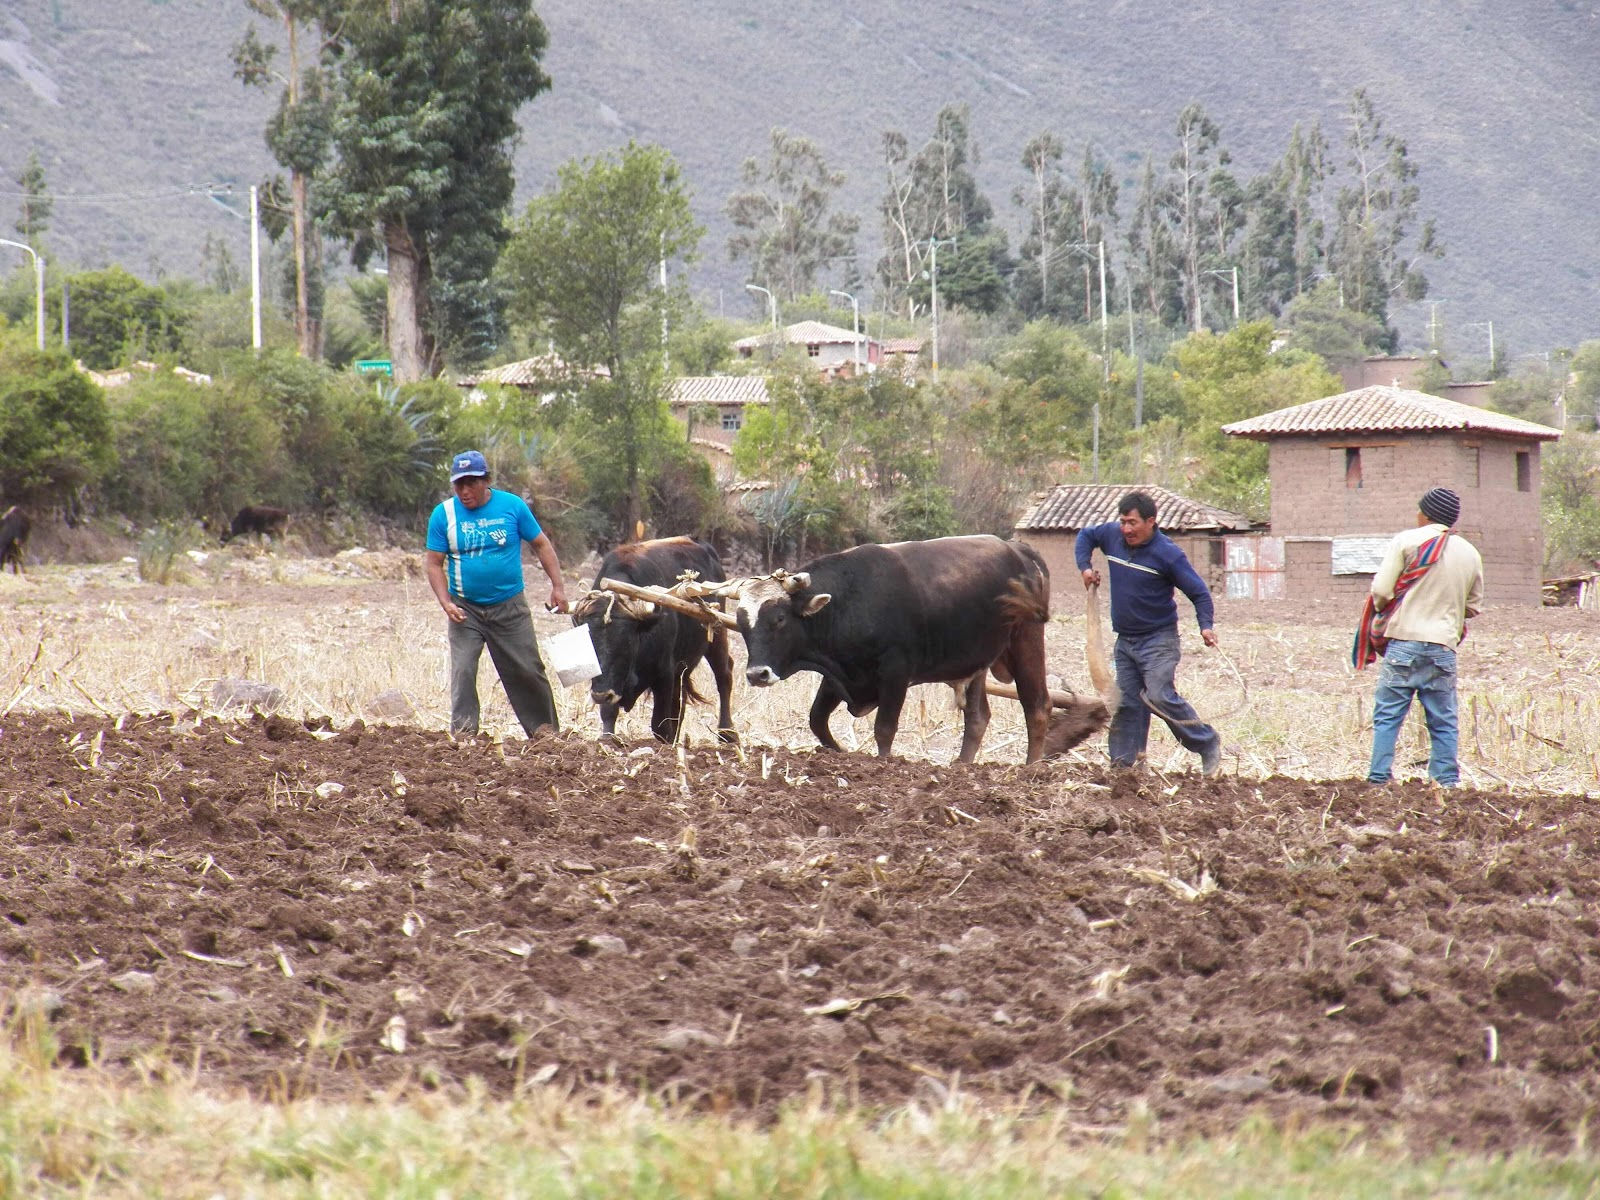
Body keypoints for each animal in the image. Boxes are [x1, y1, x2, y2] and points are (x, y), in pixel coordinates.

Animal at [572, 540, 739, 748]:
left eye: (625, 643)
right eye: (588, 644)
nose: (600, 696)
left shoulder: (664, 674)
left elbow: (659, 724)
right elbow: (609, 713)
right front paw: (608, 740)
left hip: (716, 633)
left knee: (724, 675)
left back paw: (728, 733)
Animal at [732, 537, 1062, 764]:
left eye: (779, 618)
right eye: (742, 623)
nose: (757, 674)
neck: (850, 600)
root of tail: (1016, 548)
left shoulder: (894, 673)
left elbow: (884, 728)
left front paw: (883, 765)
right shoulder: (839, 677)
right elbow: (817, 721)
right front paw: (840, 752)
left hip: (1026, 640)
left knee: (1037, 707)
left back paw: (1031, 768)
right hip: (976, 662)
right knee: (978, 717)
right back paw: (961, 766)